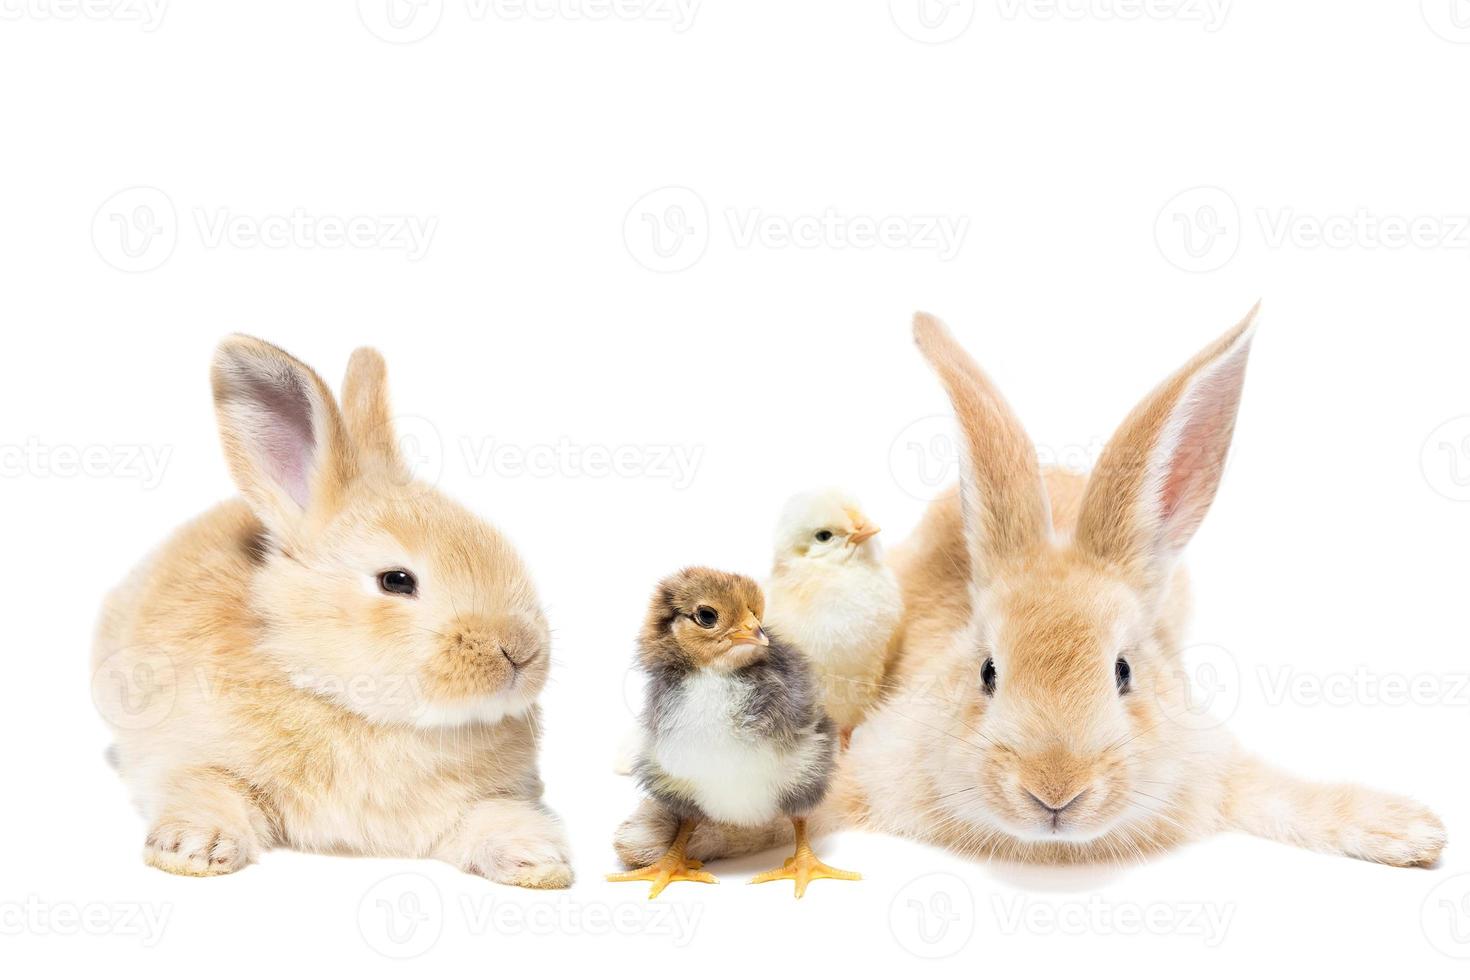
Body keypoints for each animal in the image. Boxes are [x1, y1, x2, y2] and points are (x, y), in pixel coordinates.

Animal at [94, 337, 570, 887]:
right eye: (396, 580)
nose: (521, 650)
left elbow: (488, 817)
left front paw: (538, 859)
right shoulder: (188, 756)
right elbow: (207, 788)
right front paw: (193, 849)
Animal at [611, 308, 1446, 875]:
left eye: (1124, 672)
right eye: (987, 672)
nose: (1055, 792)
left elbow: (1286, 796)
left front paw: (1412, 832)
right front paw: (650, 836)